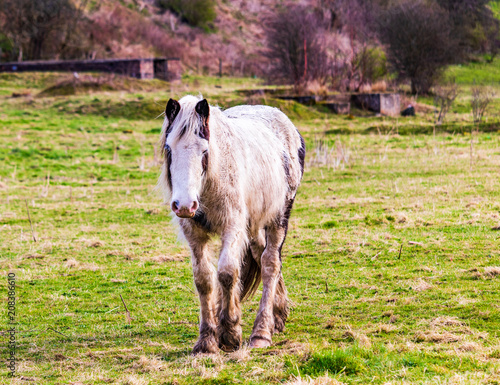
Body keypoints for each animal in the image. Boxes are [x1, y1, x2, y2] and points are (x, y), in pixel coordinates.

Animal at [157, 94, 304, 352]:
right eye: (168, 148)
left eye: (204, 150)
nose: (184, 205)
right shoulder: (194, 235)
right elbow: (204, 279)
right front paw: (207, 339)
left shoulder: (232, 227)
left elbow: (226, 273)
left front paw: (230, 333)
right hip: (254, 225)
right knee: (260, 254)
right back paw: (278, 315)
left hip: (279, 218)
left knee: (270, 264)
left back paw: (261, 332)